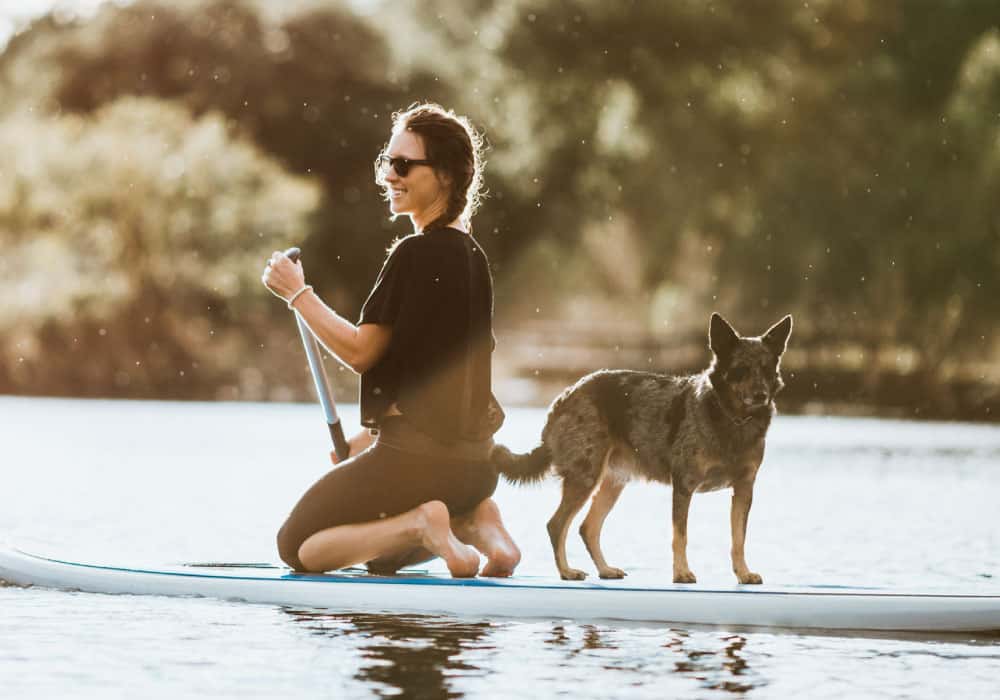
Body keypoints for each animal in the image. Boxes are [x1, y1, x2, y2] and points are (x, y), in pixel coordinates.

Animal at [490, 314, 788, 584]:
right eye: (741, 369)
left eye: (766, 368)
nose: (761, 395)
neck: (732, 419)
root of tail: (565, 396)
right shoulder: (684, 485)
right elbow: (680, 536)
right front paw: (681, 573)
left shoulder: (744, 490)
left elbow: (739, 539)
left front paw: (743, 573)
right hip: (585, 477)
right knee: (556, 524)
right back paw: (566, 571)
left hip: (611, 483)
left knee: (588, 528)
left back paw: (605, 570)